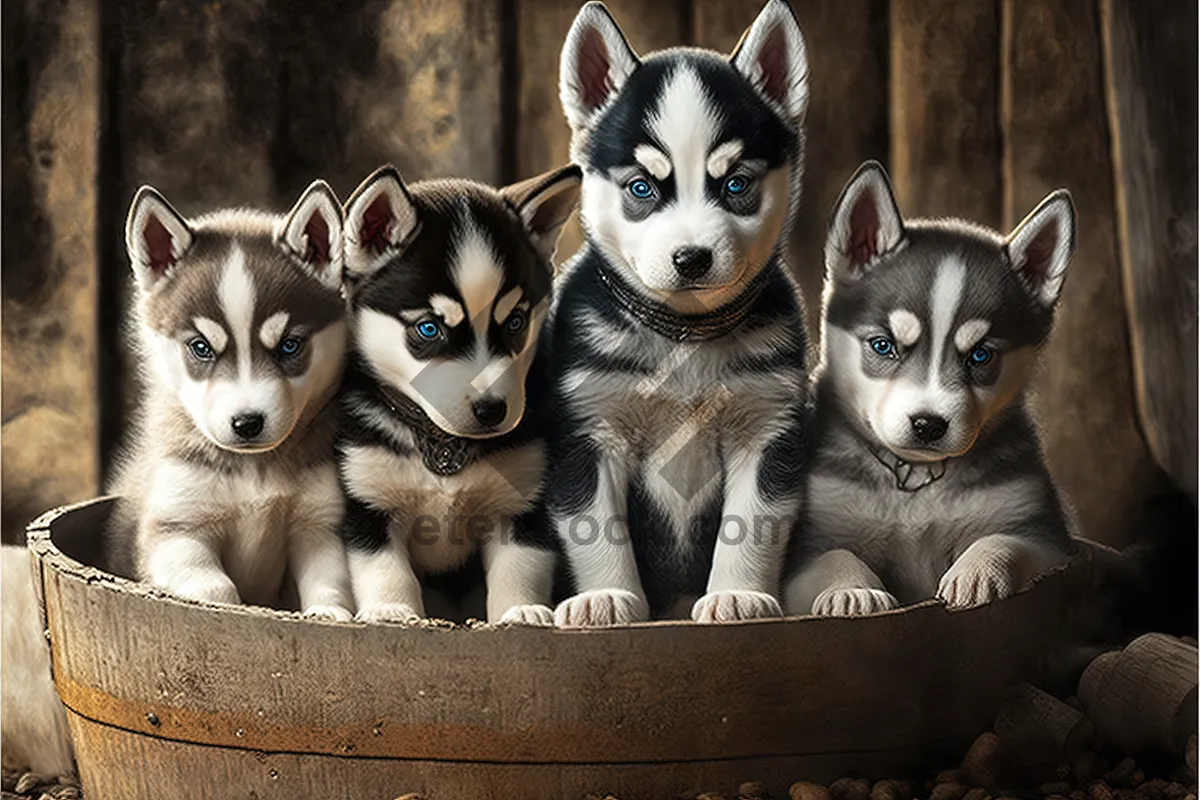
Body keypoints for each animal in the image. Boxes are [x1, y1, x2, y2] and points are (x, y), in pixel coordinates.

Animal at [108, 181, 352, 618]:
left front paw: (328, 614)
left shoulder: (319, 525)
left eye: (290, 345)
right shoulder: (174, 529)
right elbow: (215, 588)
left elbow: (330, 584)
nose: (247, 423)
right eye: (201, 347)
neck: (254, 471)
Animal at [338, 163, 580, 623]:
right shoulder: (367, 501)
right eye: (429, 328)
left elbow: (518, 571)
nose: (492, 410)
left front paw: (520, 613)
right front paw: (393, 611)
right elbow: (386, 571)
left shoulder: (521, 504)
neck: (443, 445)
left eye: (516, 322)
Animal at [540, 0, 811, 623]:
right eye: (641, 187)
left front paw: (737, 594)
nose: (691, 258)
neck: (684, 338)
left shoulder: (768, 427)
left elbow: (751, 523)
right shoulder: (587, 431)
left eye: (736, 184)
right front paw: (607, 596)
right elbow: (596, 526)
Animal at [787, 159, 1080, 618]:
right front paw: (853, 591)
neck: (917, 480)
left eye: (980, 355)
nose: (928, 425)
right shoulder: (811, 539)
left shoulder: (1042, 532)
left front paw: (978, 570)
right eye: (883, 345)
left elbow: (1005, 540)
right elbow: (834, 556)